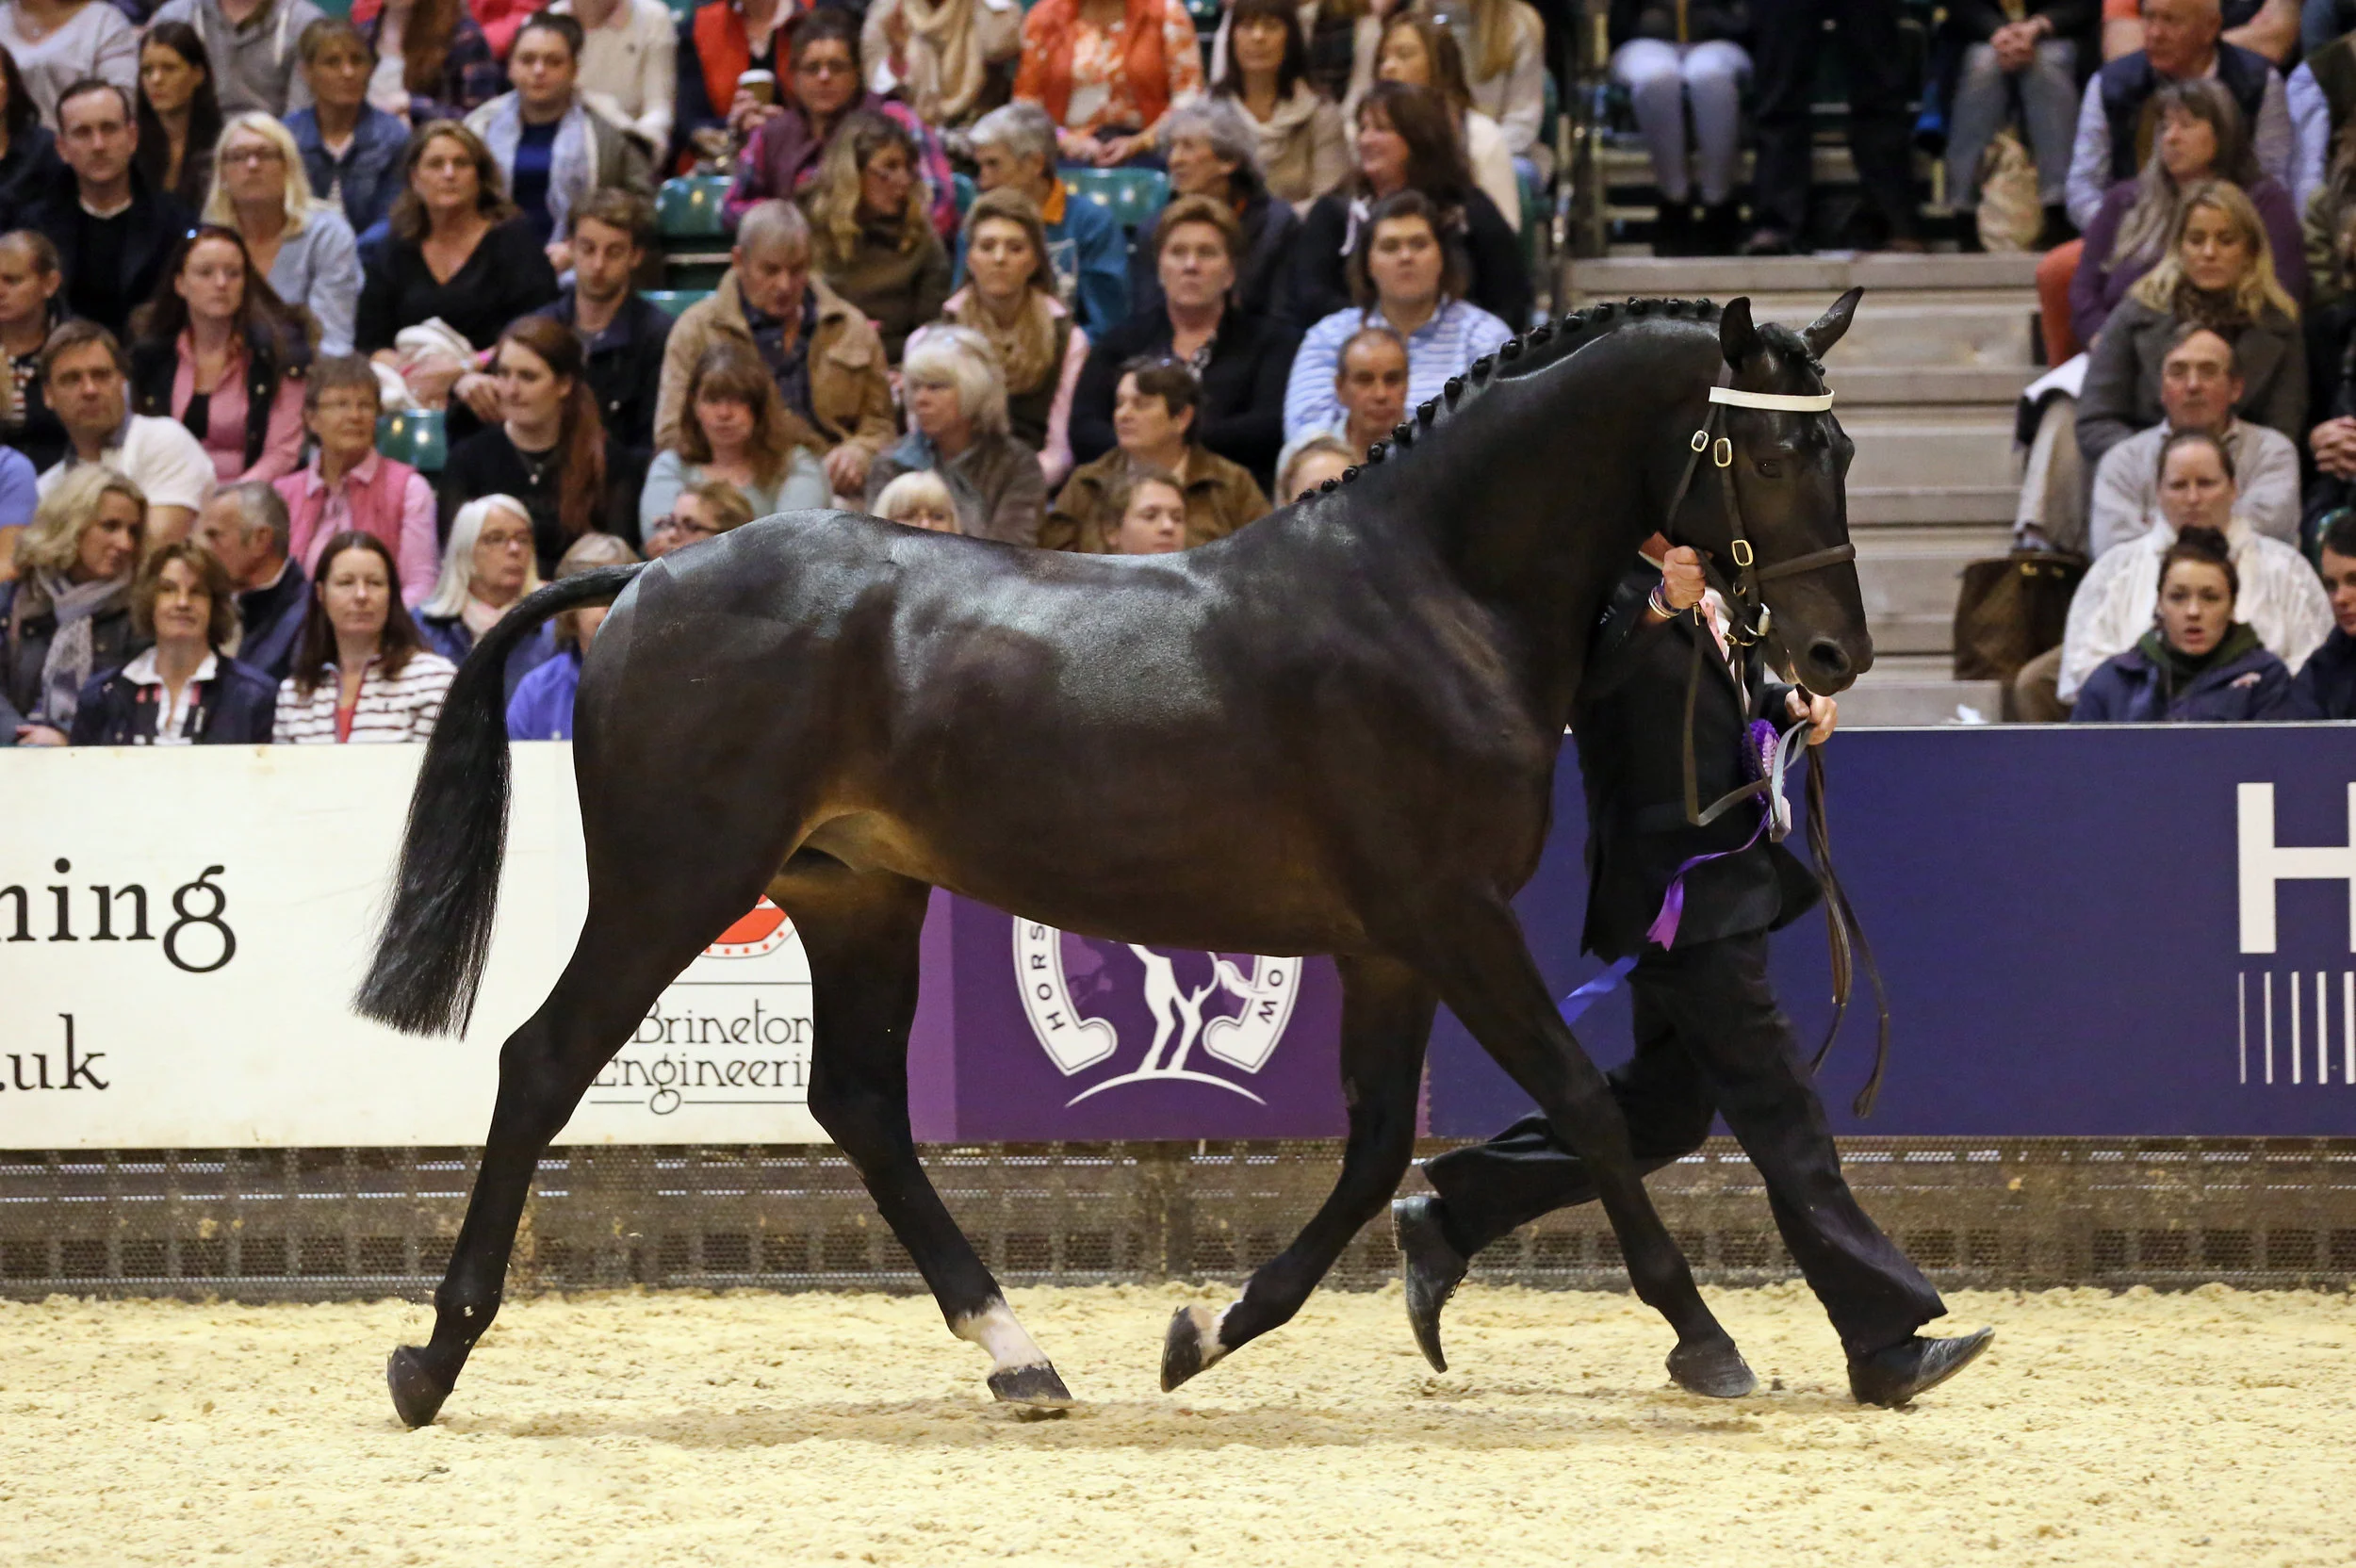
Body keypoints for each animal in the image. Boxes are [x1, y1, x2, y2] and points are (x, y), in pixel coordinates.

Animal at [356, 291, 1868, 1427]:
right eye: (1771, 457)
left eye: (1844, 451)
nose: (1833, 655)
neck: (1432, 594)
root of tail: (645, 579)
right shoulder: (1452, 915)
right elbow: (1581, 1103)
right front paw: (1706, 1339)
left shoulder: (1391, 941)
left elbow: (1380, 1145)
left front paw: (1209, 1329)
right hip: (676, 885)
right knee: (544, 1062)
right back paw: (432, 1358)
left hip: (856, 897)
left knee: (860, 1104)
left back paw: (1019, 1356)